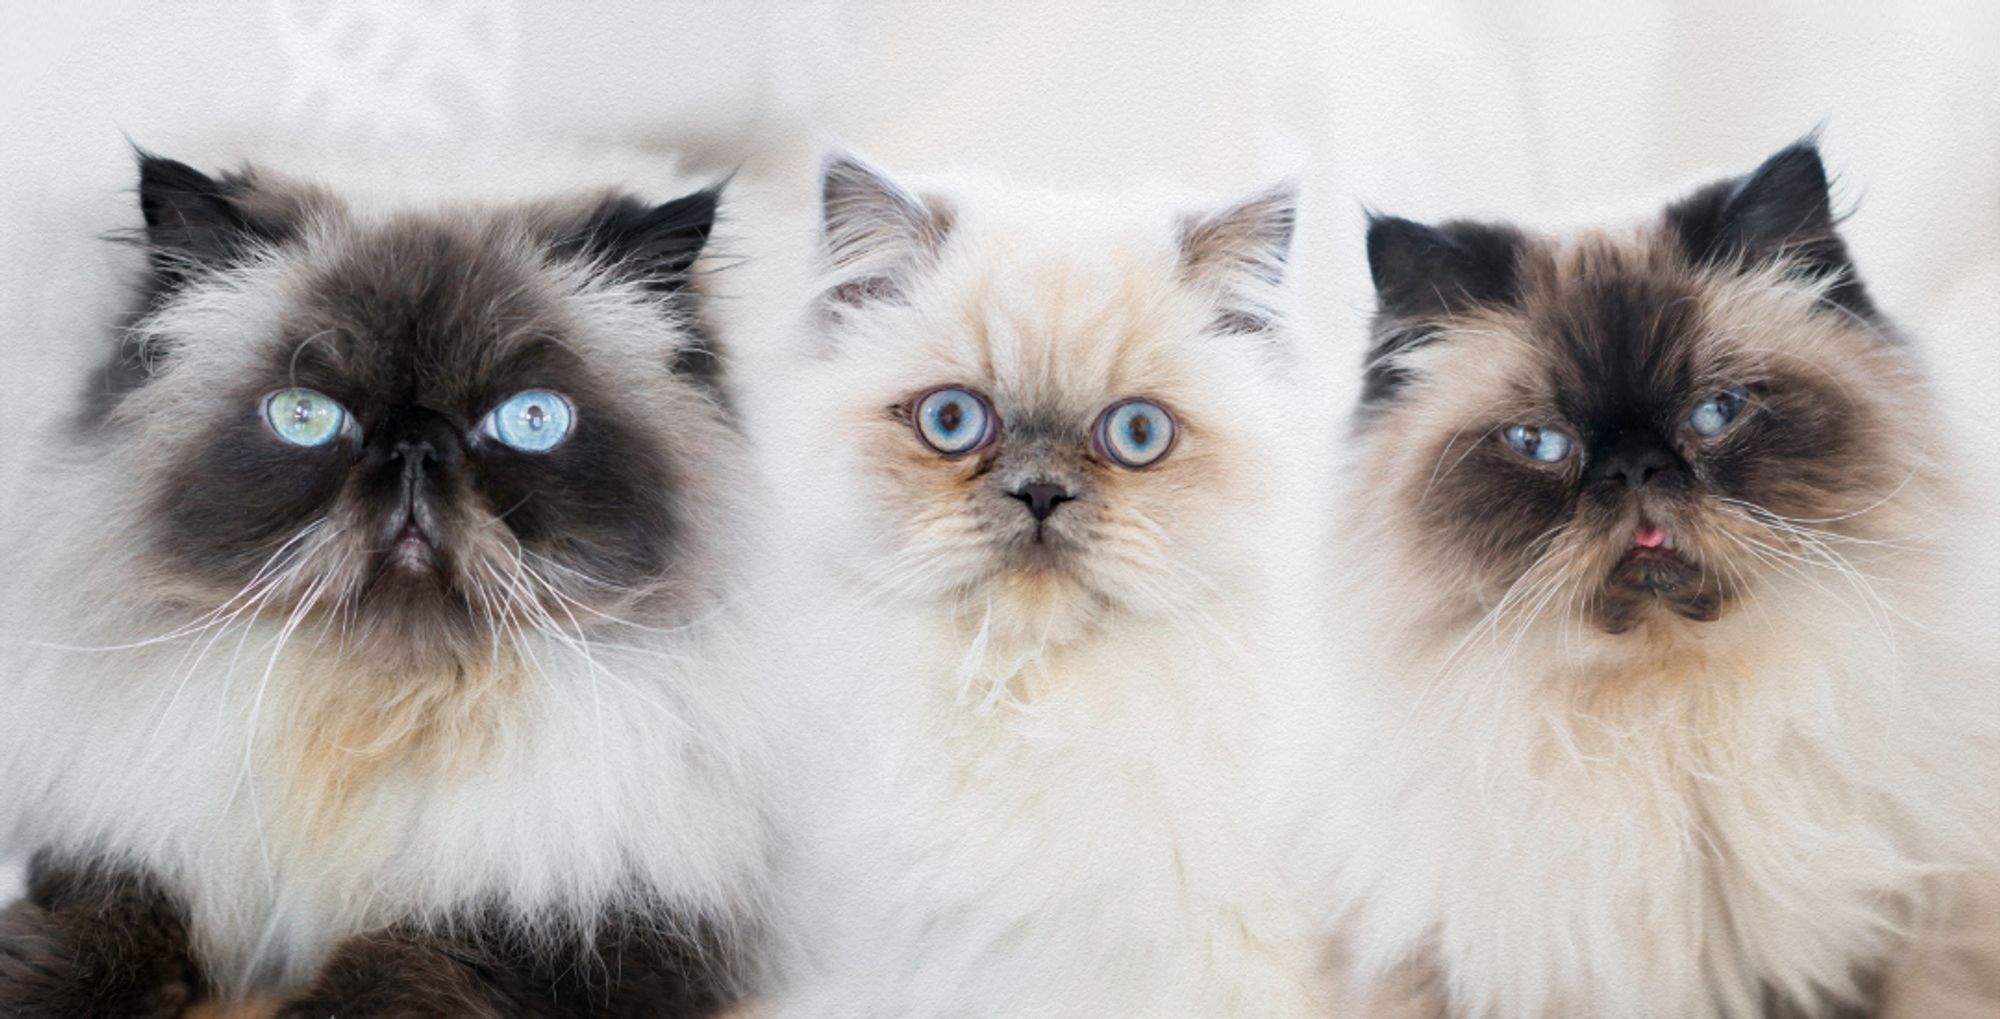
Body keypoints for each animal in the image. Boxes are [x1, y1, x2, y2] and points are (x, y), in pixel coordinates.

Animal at [0, 146, 772, 1015]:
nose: (414, 448)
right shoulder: (132, 853)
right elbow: (82, 945)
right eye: (305, 417)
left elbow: (395, 977)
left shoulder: (582, 916)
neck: (388, 710)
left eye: (530, 420)